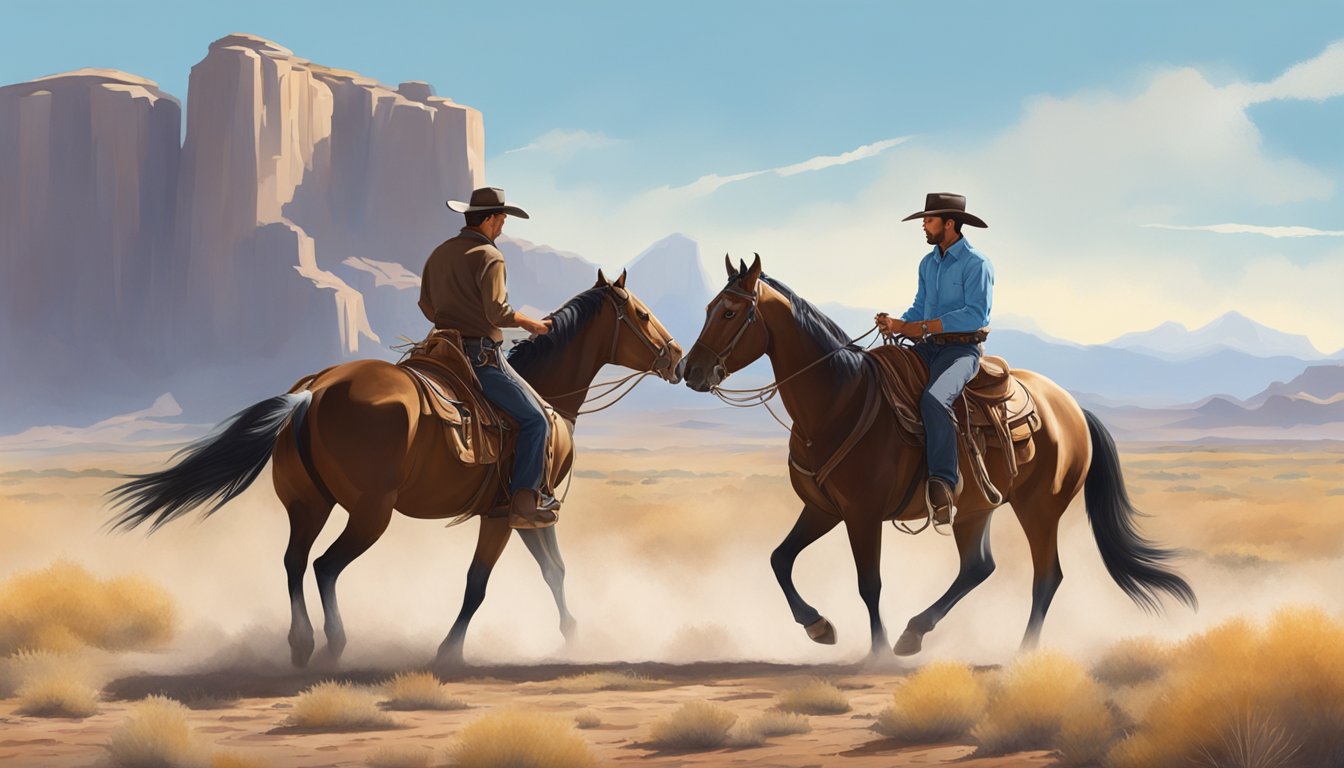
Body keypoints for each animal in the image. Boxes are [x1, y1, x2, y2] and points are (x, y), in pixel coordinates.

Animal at [104, 273, 682, 669]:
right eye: (640, 312)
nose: (676, 358)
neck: (545, 397)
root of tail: (314, 391)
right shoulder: (505, 512)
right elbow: (478, 584)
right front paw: (448, 652)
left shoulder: (528, 513)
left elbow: (554, 570)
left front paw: (574, 636)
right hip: (370, 513)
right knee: (325, 566)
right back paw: (334, 646)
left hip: (308, 504)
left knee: (294, 562)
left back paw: (301, 645)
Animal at [682, 255, 1198, 659]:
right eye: (707, 307)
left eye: (730, 311)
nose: (691, 370)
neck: (839, 402)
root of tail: (1072, 408)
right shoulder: (824, 508)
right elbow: (779, 559)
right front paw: (819, 626)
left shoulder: (863, 514)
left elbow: (869, 582)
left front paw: (877, 651)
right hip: (977, 506)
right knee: (978, 567)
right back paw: (916, 633)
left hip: (1040, 507)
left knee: (1046, 575)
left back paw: (1021, 652)